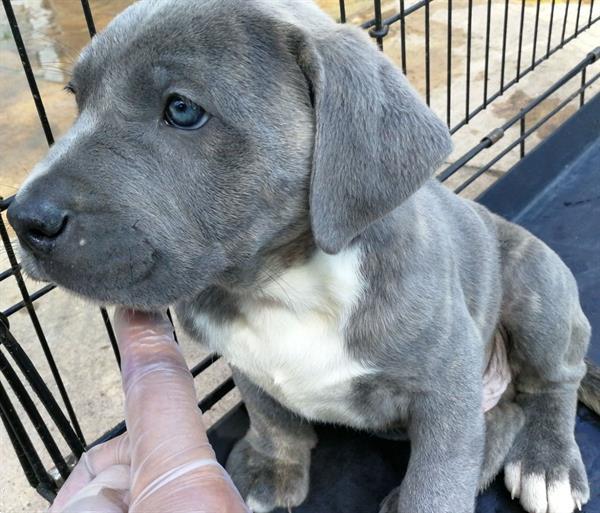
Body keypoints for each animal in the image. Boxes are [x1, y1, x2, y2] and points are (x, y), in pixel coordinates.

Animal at [7, 1, 596, 512]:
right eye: (77, 98)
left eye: (182, 109)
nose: (23, 219)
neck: (280, 283)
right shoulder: (242, 355)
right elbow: (269, 412)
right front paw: (271, 468)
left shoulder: (447, 382)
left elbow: (438, 481)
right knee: (503, 415)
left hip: (537, 286)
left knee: (551, 384)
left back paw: (548, 466)